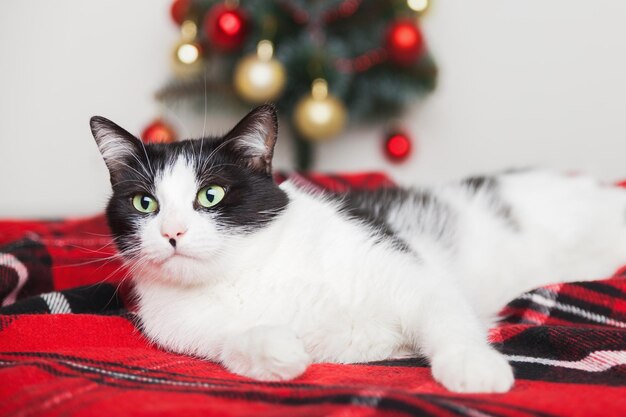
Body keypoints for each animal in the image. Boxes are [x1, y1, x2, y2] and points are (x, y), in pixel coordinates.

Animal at [86, 103, 624, 390]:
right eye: (145, 203)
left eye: (210, 195)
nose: (172, 233)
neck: (246, 273)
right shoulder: (188, 333)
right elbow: (233, 343)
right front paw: (278, 353)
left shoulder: (410, 274)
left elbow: (445, 315)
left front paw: (473, 366)